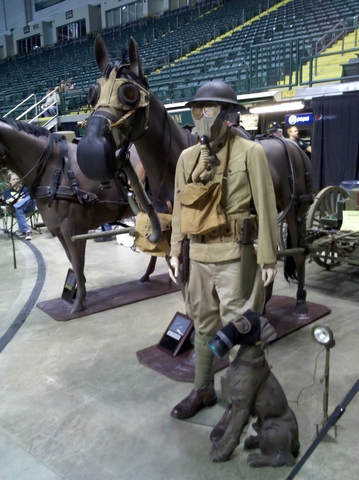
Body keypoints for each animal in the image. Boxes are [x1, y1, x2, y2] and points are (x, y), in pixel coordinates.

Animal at [0, 117, 162, 314]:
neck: (57, 170)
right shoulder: (59, 230)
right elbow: (72, 259)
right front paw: (78, 293)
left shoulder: (73, 227)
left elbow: (78, 262)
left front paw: (78, 302)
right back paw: (147, 275)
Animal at [77, 37, 314, 316]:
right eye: (92, 93)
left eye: (130, 93)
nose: (90, 153)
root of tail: (292, 145)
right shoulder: (173, 231)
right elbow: (183, 275)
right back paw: (264, 304)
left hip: (294, 208)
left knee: (298, 251)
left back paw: (300, 301)